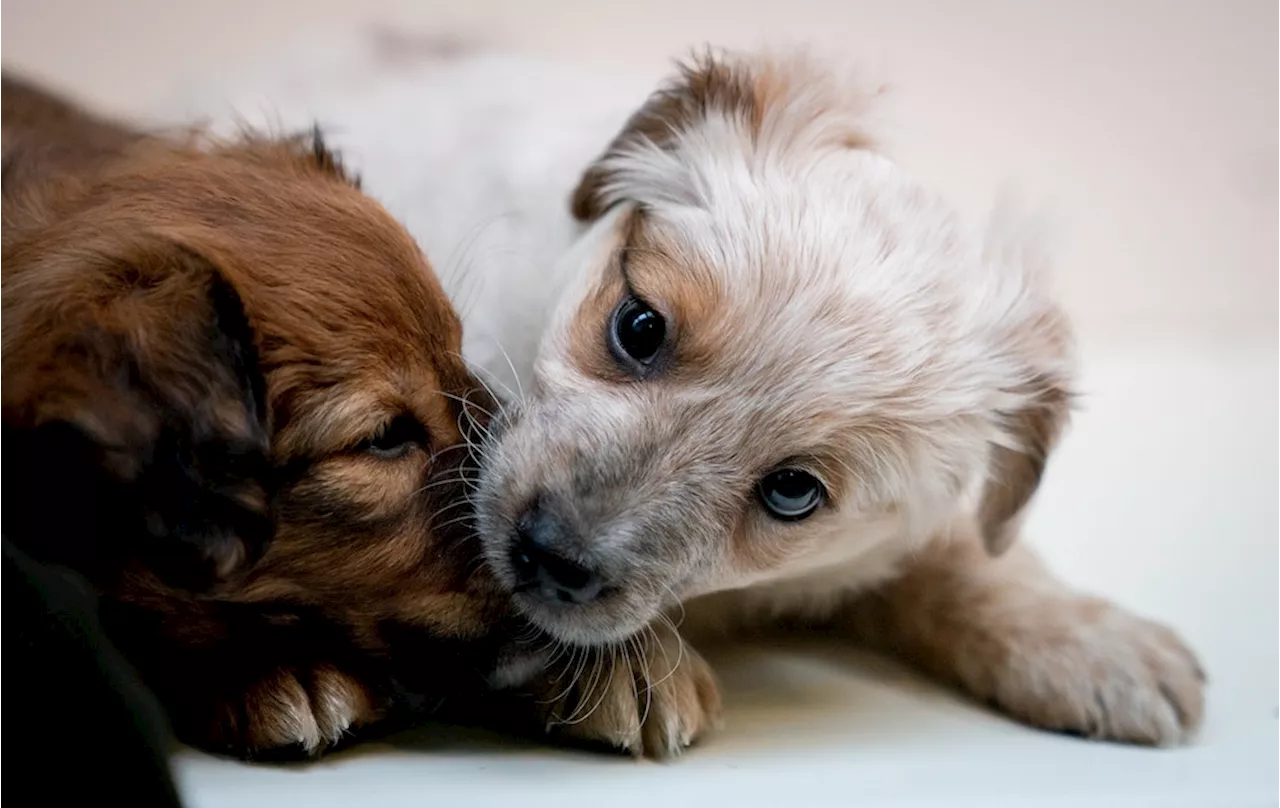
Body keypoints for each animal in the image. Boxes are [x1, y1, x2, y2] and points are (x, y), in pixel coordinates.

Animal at [175, 30, 1203, 758]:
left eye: (793, 493)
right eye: (639, 328)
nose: (548, 555)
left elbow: (970, 557)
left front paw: (1088, 640)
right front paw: (629, 672)